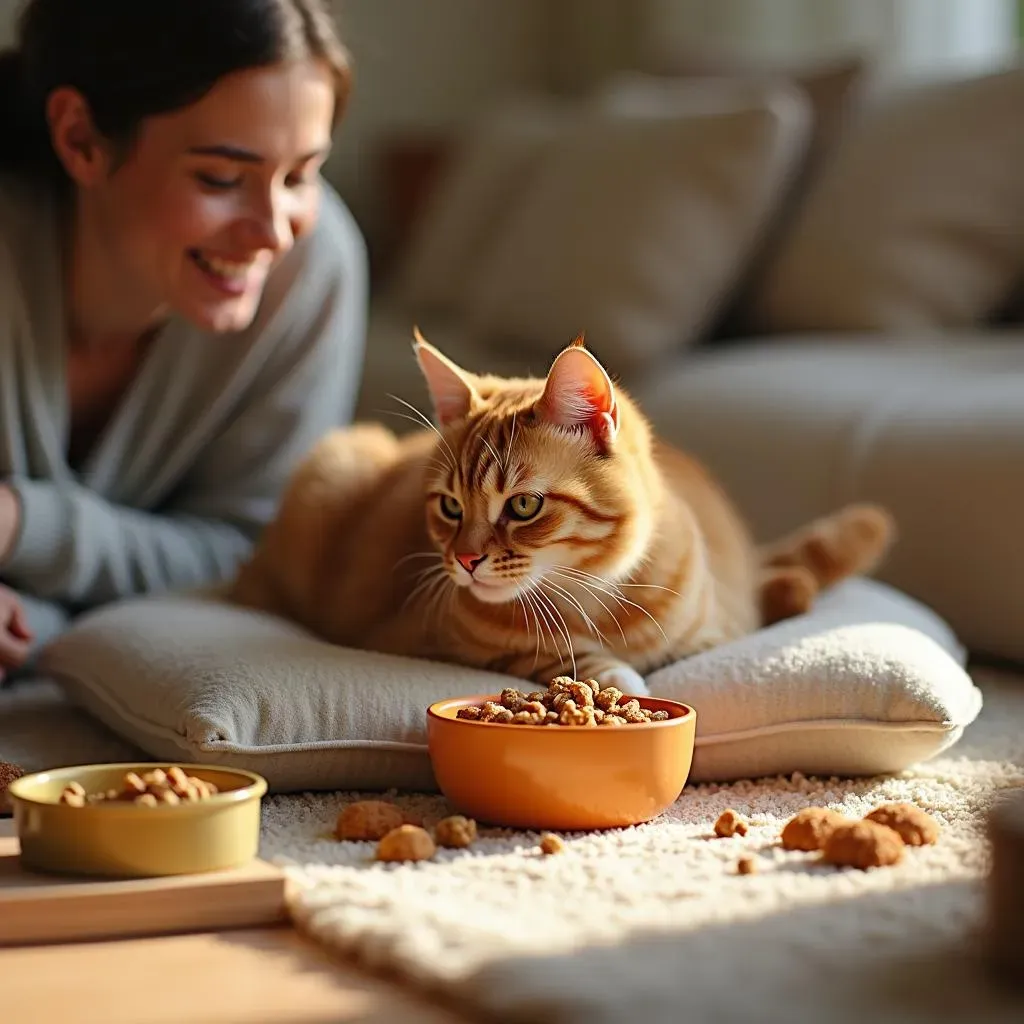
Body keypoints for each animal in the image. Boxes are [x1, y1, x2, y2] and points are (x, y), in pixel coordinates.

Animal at [228, 331, 892, 692]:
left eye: (523, 505)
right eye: (450, 506)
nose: (464, 560)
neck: (591, 596)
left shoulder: (715, 632)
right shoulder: (425, 639)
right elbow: (562, 658)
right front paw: (613, 675)